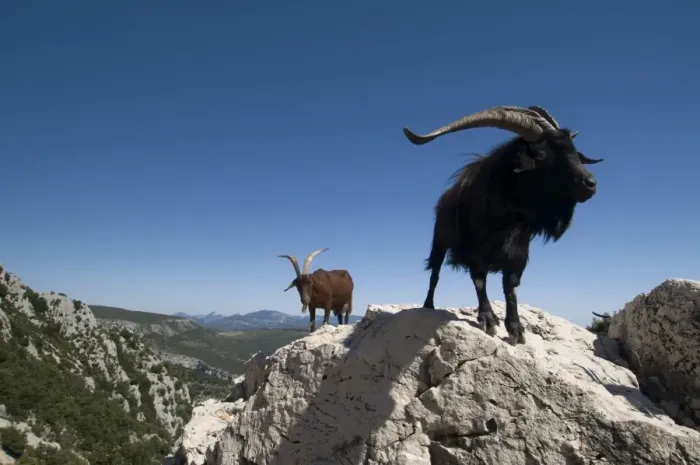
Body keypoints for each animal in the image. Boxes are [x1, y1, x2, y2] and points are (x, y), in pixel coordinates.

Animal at [402, 105, 603, 345]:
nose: (590, 184)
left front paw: (516, 328)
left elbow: (511, 287)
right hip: (440, 241)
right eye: (542, 154)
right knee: (435, 273)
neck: (502, 217)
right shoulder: (473, 249)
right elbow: (479, 280)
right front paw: (488, 319)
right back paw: (428, 304)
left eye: (575, 151)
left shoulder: (517, 252)